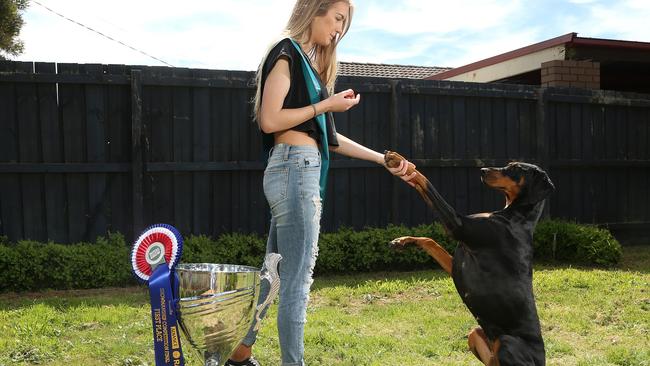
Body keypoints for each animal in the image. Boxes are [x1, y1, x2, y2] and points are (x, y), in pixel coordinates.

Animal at [382, 150, 556, 364]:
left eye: (515, 168)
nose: (482, 170)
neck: (517, 216)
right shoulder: (457, 261)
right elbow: (430, 241)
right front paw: (402, 241)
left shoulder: (458, 225)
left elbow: (426, 181)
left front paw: (400, 162)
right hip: (475, 334)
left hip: (507, 341)